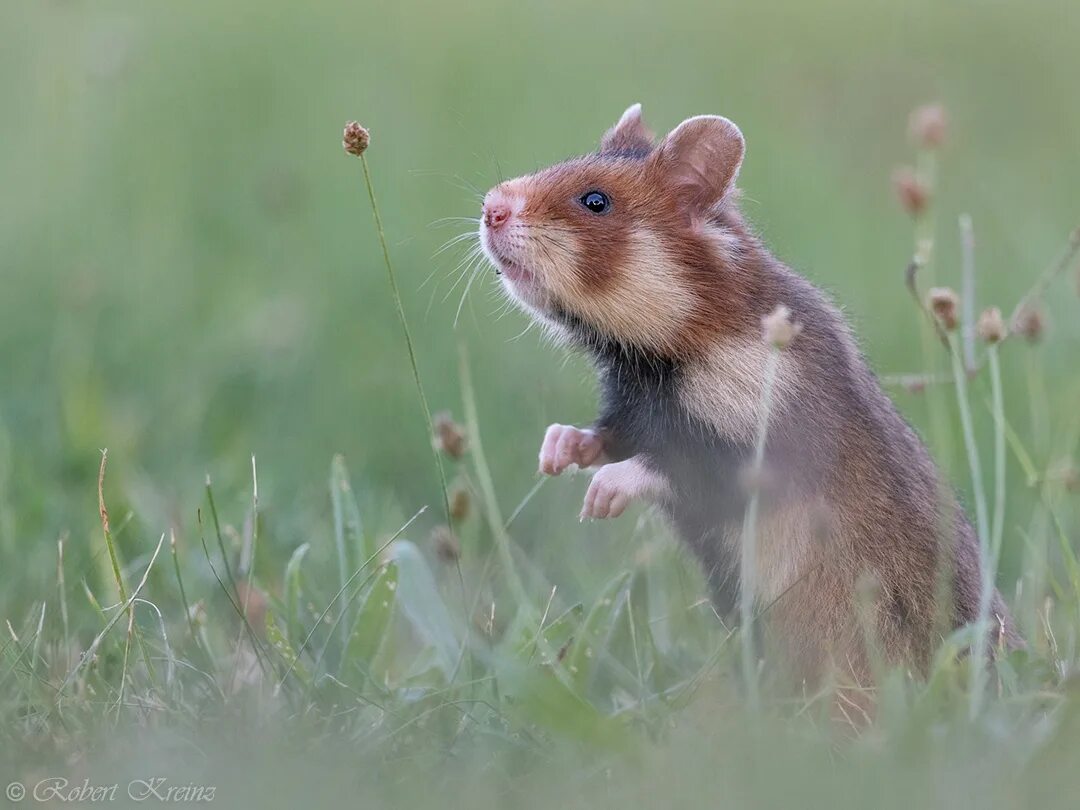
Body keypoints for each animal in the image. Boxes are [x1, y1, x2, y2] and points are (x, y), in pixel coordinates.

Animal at [477, 104, 1015, 691]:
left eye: (595, 201)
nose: (489, 207)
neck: (667, 355)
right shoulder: (635, 408)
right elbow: (608, 435)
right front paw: (555, 451)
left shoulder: (771, 440)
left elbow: (678, 464)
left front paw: (600, 497)